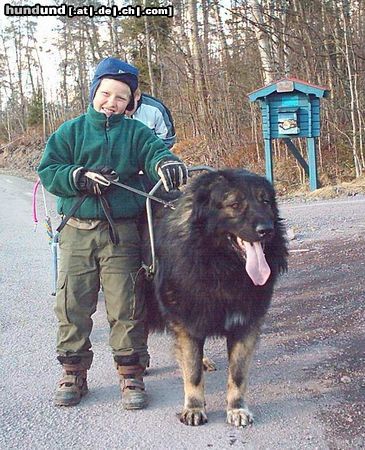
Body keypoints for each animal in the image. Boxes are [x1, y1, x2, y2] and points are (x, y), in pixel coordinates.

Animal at [142, 168, 288, 426]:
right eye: (235, 204)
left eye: (265, 202)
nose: (266, 230)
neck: (220, 266)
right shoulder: (187, 324)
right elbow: (192, 373)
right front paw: (194, 407)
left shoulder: (245, 325)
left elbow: (238, 375)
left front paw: (237, 408)